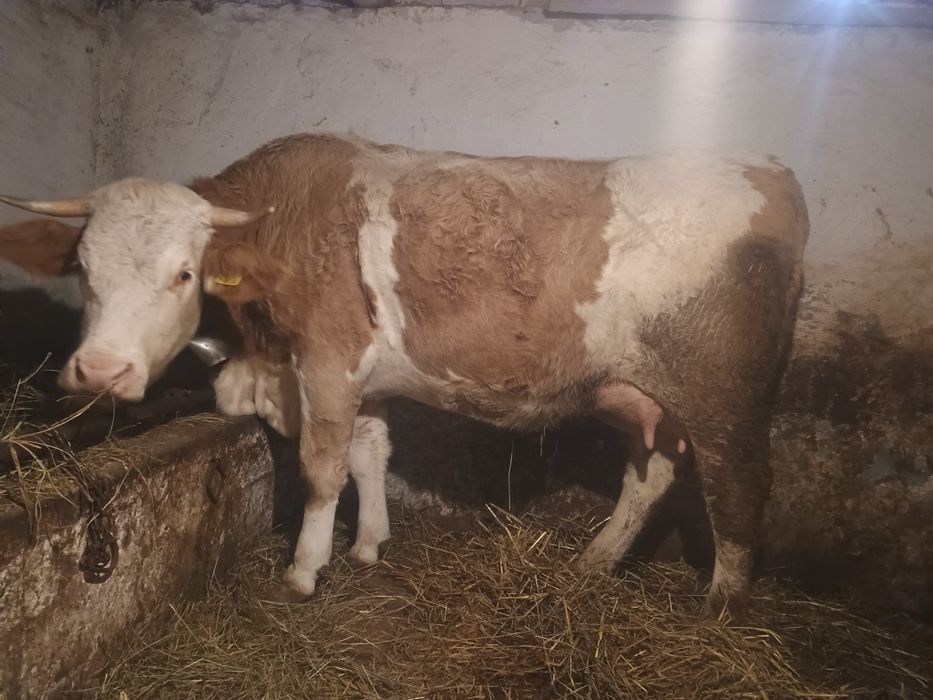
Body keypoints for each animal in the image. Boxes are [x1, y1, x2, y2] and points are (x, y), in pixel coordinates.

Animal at [0, 133, 809, 619]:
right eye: (84, 268)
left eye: (184, 273)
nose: (101, 370)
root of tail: (768, 170)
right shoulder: (363, 379)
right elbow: (370, 454)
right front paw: (368, 546)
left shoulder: (326, 363)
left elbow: (322, 467)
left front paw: (306, 568)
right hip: (637, 394)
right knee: (649, 474)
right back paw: (594, 562)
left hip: (725, 398)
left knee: (739, 489)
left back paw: (721, 605)